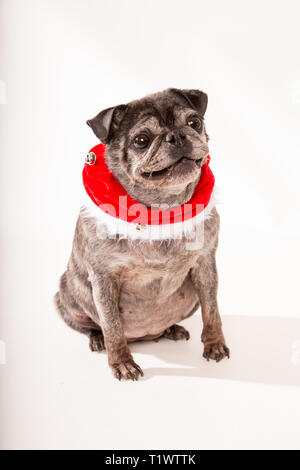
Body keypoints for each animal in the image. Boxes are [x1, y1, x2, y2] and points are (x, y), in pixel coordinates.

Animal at [55, 89, 230, 382]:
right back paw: (97, 338)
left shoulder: (205, 264)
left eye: (194, 122)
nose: (176, 136)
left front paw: (215, 343)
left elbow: (212, 311)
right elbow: (112, 327)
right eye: (141, 140)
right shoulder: (104, 279)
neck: (162, 212)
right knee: (92, 325)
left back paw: (171, 329)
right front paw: (122, 362)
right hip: (68, 295)